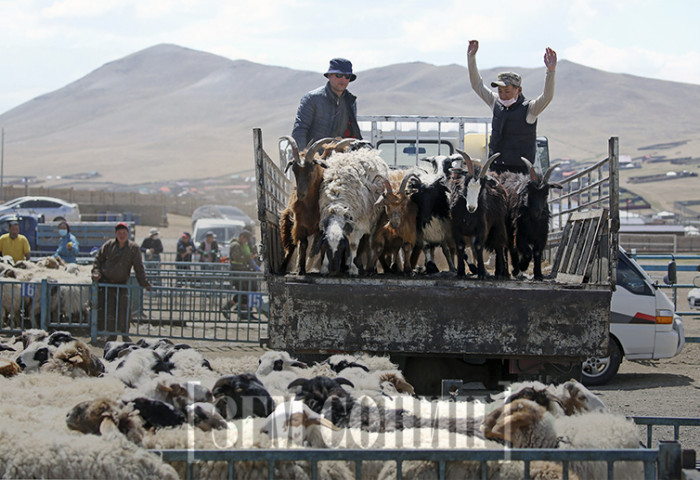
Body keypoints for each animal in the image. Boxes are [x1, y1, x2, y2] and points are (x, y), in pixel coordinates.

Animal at [316, 146, 392, 274]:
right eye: (326, 246)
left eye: (341, 247)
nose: (333, 269)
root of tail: (364, 151)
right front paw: (325, 267)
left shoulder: (359, 225)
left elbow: (353, 245)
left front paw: (352, 269)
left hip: (374, 220)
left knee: (371, 241)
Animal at [448, 150, 508, 278]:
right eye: (466, 184)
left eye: (482, 187)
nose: (472, 207)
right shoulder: (456, 225)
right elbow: (460, 246)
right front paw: (461, 272)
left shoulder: (482, 225)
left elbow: (479, 245)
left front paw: (481, 273)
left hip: (498, 224)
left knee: (499, 245)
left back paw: (499, 272)